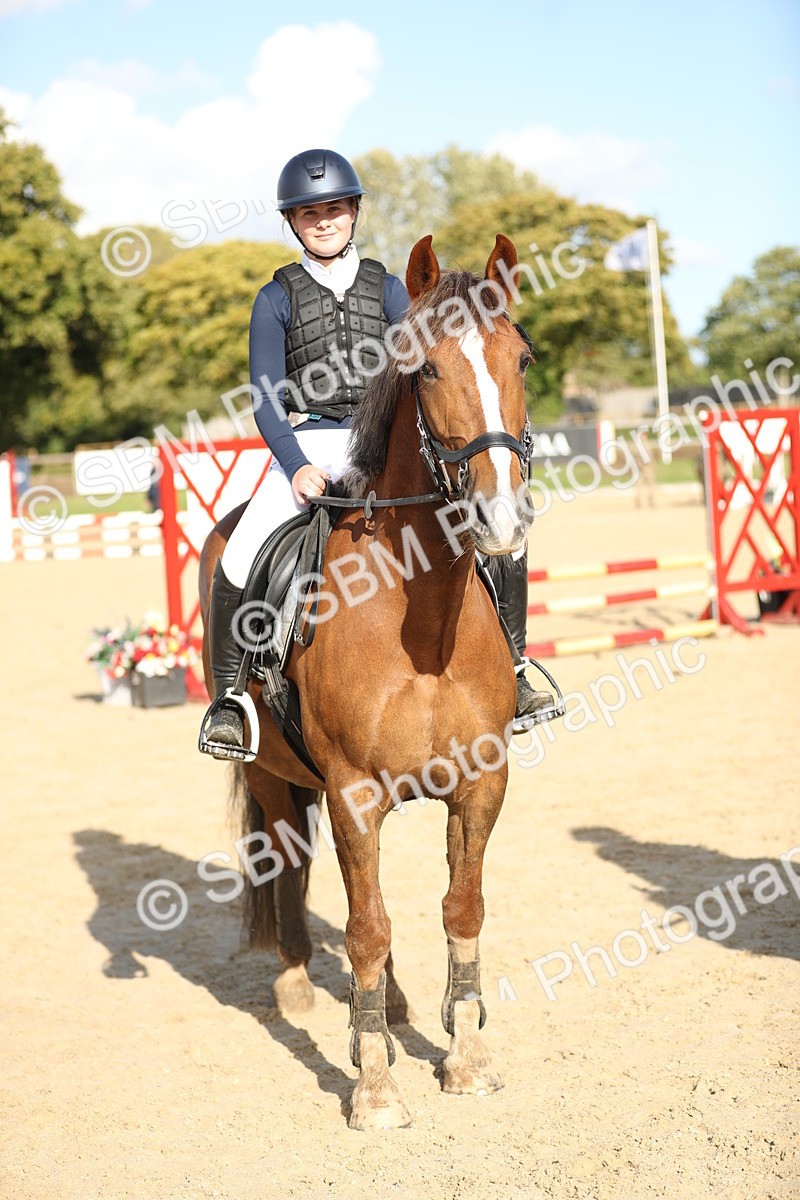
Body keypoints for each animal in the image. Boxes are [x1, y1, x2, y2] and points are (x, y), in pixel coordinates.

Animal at [199, 233, 537, 1130]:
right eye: (426, 369)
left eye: (522, 358)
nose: (502, 520)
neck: (422, 627)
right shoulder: (352, 793)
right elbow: (365, 931)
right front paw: (377, 1087)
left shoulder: (479, 784)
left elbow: (459, 909)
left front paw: (465, 1057)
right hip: (271, 774)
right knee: (288, 867)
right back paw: (297, 985)